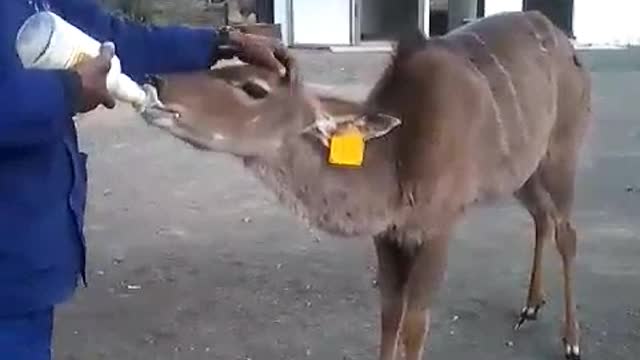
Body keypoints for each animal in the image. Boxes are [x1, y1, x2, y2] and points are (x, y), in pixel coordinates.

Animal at [142, 9, 592, 358]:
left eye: (254, 88)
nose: (156, 82)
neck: (397, 163)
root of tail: (565, 43)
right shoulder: (388, 235)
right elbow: (389, 315)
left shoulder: (439, 227)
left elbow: (415, 323)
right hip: (524, 172)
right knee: (542, 218)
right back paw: (531, 307)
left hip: (562, 152)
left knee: (567, 232)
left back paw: (571, 341)